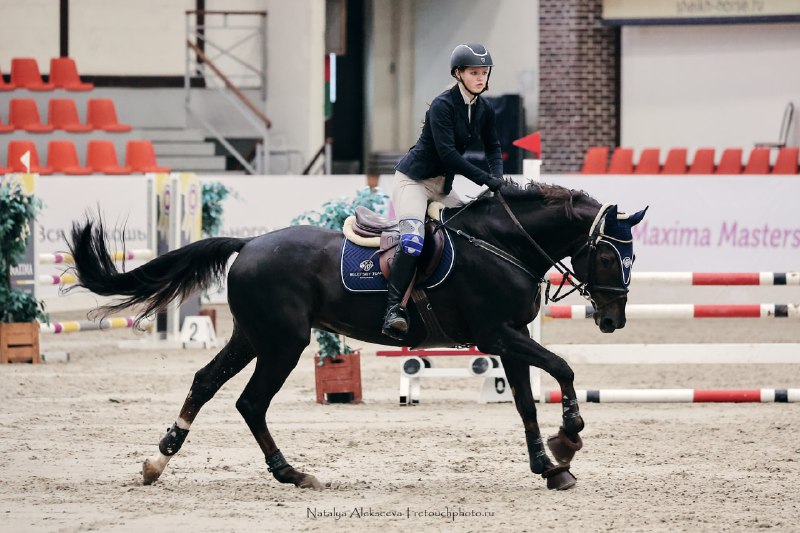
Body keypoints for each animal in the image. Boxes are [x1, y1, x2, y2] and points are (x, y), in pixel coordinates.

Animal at [65, 182, 648, 490]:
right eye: (607, 255)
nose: (613, 320)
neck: (503, 244)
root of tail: (249, 245)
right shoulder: (497, 333)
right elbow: (563, 369)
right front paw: (569, 437)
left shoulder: (511, 335)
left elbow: (526, 400)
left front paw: (549, 466)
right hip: (283, 343)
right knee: (251, 402)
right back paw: (290, 472)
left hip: (252, 337)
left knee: (208, 383)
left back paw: (161, 458)